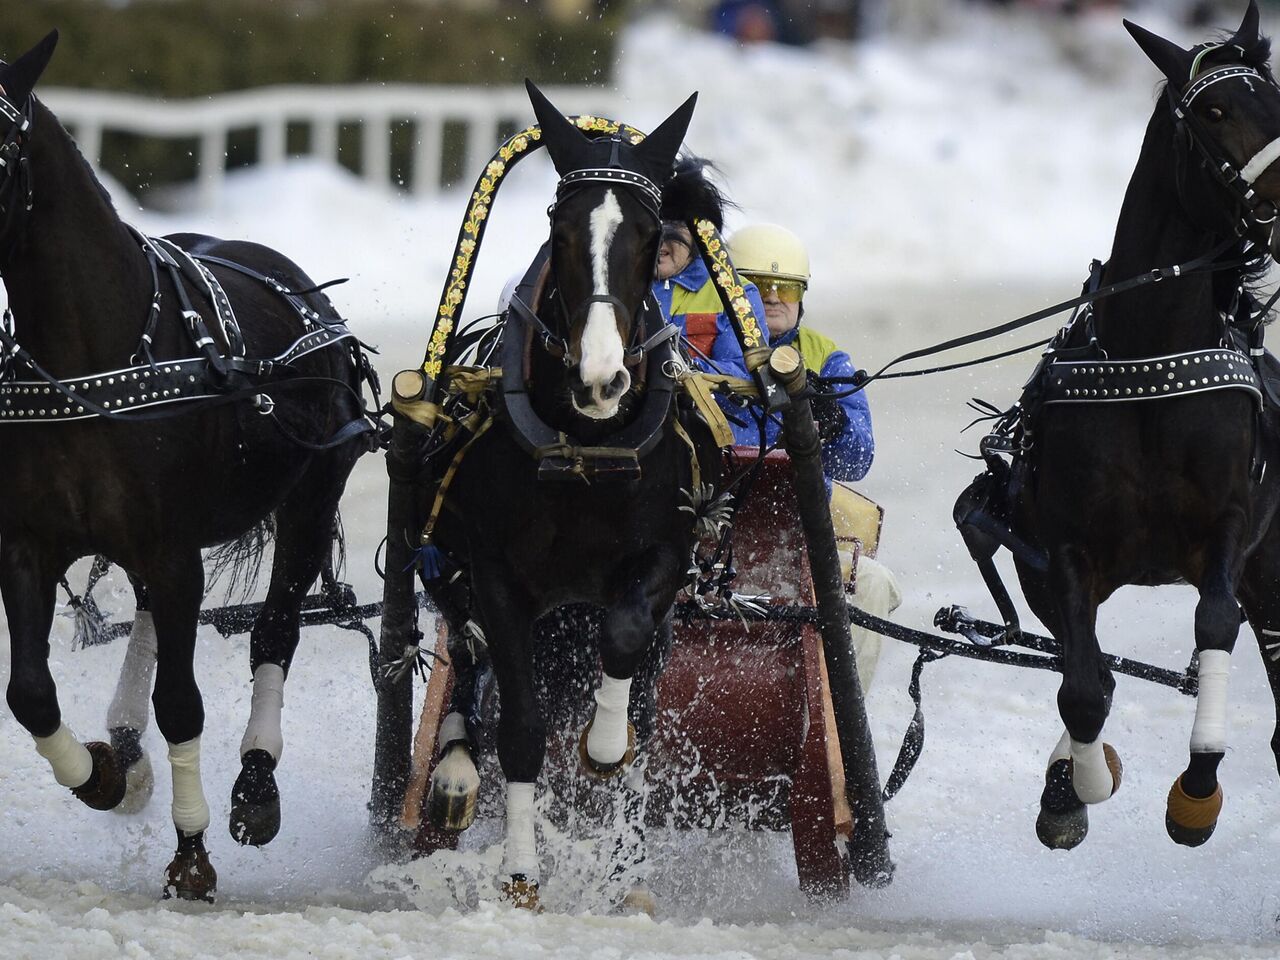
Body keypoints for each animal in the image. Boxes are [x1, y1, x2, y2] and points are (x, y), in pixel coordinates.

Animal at [3, 32, 373, 901]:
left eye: (1, 147)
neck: (91, 362)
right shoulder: (30, 544)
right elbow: (30, 693)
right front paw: (105, 774)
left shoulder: (172, 550)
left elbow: (184, 701)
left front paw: (193, 850)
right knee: (145, 620)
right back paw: (125, 742)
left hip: (309, 501)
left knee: (275, 630)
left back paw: (256, 779)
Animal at [412, 84, 721, 911]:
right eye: (561, 226)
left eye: (647, 234)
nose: (601, 376)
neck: (583, 447)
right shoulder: (495, 574)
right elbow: (519, 722)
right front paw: (521, 869)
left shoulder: (665, 552)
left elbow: (624, 643)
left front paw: (605, 749)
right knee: (469, 663)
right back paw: (456, 771)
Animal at [957, 5, 1280, 849]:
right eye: (1213, 110)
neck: (1152, 358)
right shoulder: (1062, 551)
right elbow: (1083, 686)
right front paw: (1074, 789)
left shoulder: (1230, 526)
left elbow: (1214, 620)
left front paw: (1197, 788)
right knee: (1090, 668)